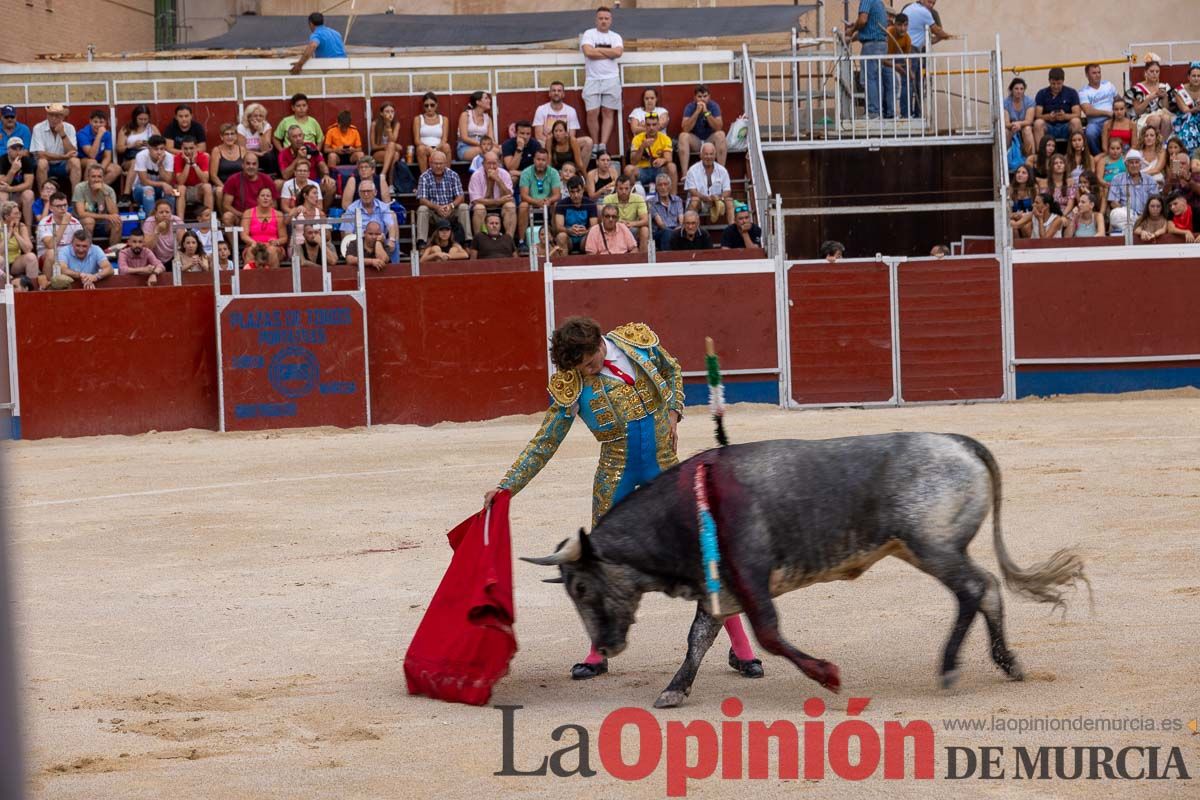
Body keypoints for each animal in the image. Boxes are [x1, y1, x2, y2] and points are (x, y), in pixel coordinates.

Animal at [523, 434, 1089, 710]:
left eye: (581, 586)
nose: (606, 647)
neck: (685, 510)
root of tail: (961, 442)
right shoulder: (720, 588)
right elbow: (698, 638)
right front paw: (675, 690)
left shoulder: (750, 579)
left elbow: (769, 635)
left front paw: (828, 675)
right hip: (925, 549)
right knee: (988, 587)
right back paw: (1008, 663)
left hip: (933, 547)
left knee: (973, 589)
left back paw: (950, 667)